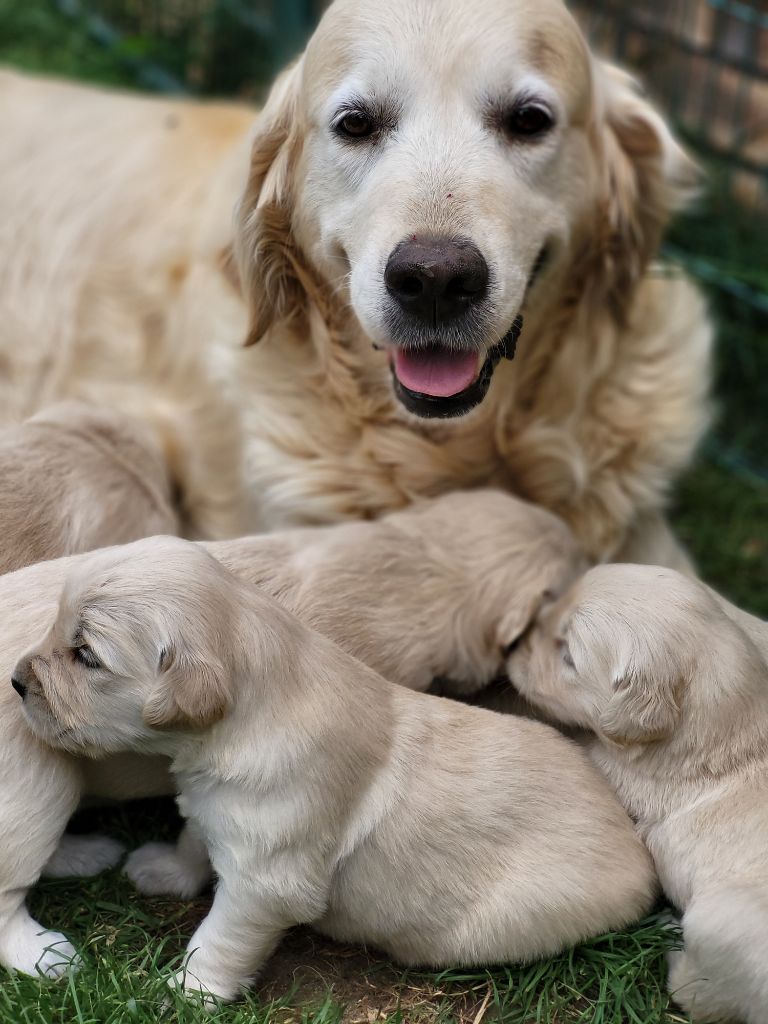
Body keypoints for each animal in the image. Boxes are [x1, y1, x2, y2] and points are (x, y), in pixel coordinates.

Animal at [13, 540, 655, 1003]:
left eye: (86, 656)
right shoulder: (215, 806)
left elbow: (219, 938)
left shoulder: (265, 883)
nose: (16, 681)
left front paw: (189, 991)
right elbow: (195, 838)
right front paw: (166, 870)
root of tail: (641, 860)